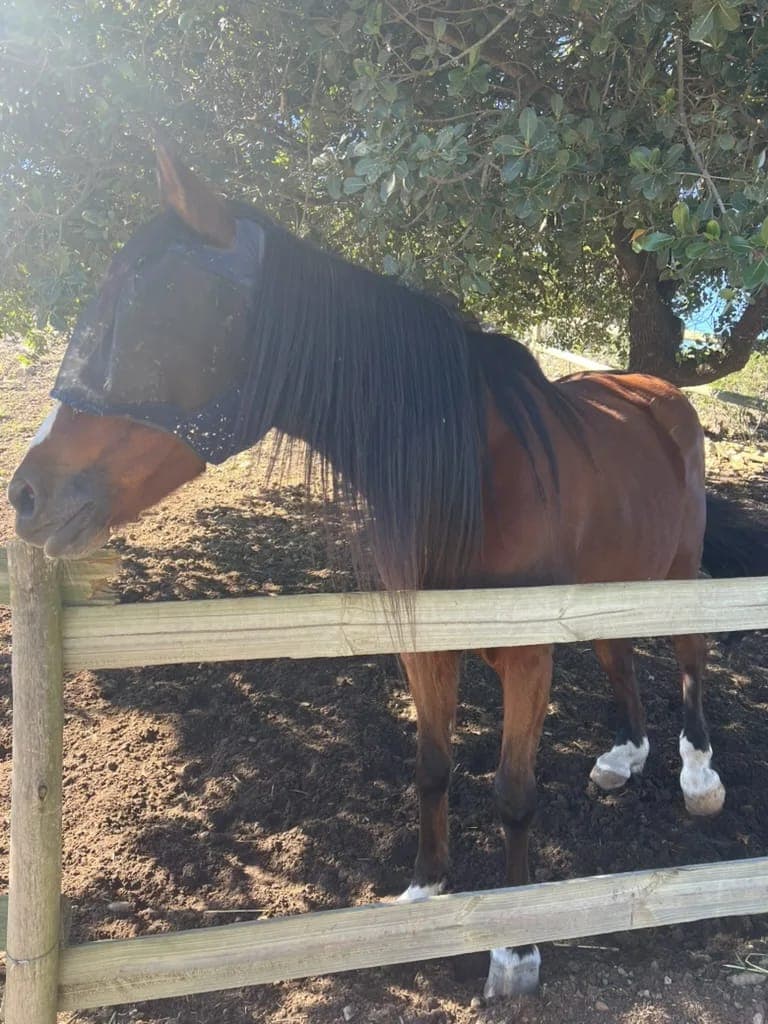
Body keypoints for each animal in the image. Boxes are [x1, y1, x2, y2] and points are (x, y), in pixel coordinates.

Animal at [9, 146, 768, 999]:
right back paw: (623, 756)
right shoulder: (424, 647)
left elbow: (512, 793)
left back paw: (698, 777)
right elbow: (432, 769)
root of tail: (658, 392)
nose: (26, 495)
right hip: (614, 584)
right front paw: (425, 892)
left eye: (147, 312)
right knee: (617, 655)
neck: (468, 472)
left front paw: (515, 950)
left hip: (674, 569)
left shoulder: (527, 657)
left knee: (689, 656)